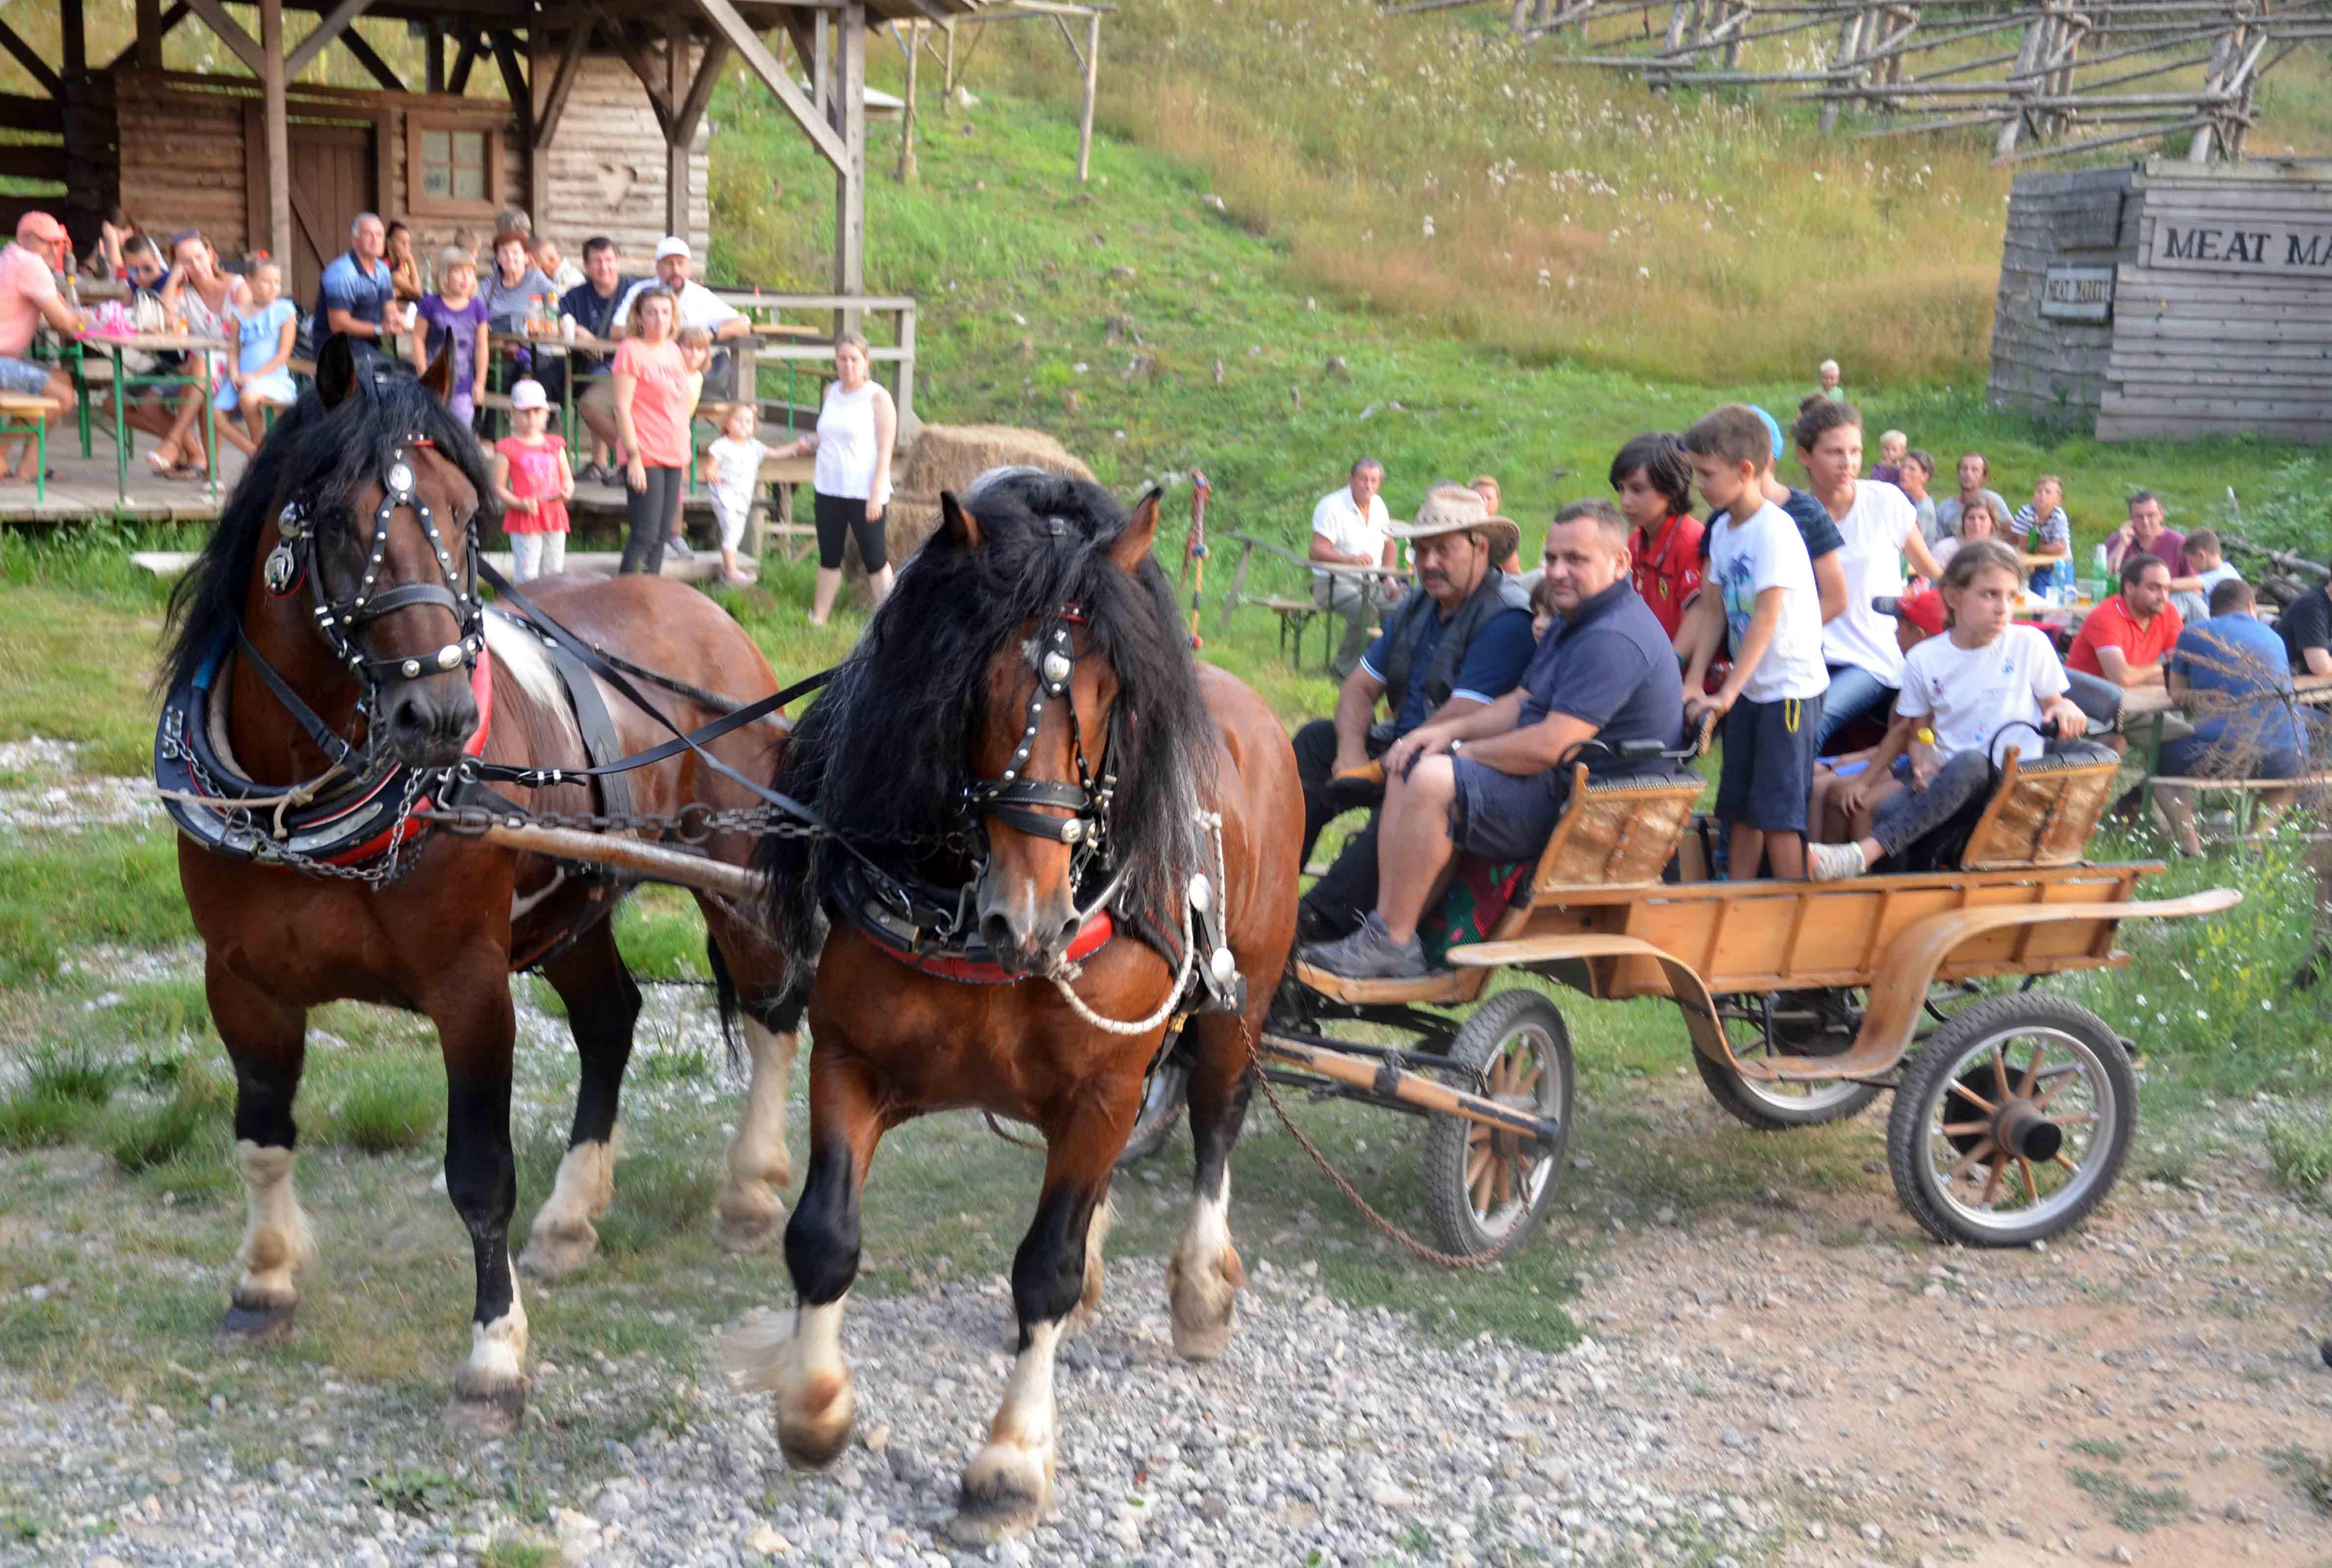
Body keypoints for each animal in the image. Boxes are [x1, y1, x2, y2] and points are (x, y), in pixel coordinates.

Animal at [157, 340, 802, 1437]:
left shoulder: (470, 986)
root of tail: (700, 607)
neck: (305, 799)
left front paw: (496, 1349)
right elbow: (261, 1138)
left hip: (734, 872)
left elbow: (479, 1174)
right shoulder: (239, 982)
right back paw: (573, 1217)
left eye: (467, 517)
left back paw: (753, 1191)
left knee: (768, 1016)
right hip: (572, 905)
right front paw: (265, 1281)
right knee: (610, 1018)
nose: (442, 714)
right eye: (339, 521)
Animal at [727, 466, 1306, 1540]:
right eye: (974, 681)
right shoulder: (850, 1060)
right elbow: (823, 1237)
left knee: (1214, 1126)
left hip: (1228, 1010)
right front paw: (814, 1409)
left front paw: (1009, 1463)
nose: (1027, 916)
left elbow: (1045, 1267)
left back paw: (1202, 1290)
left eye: (1111, 690)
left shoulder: (1103, 1090)